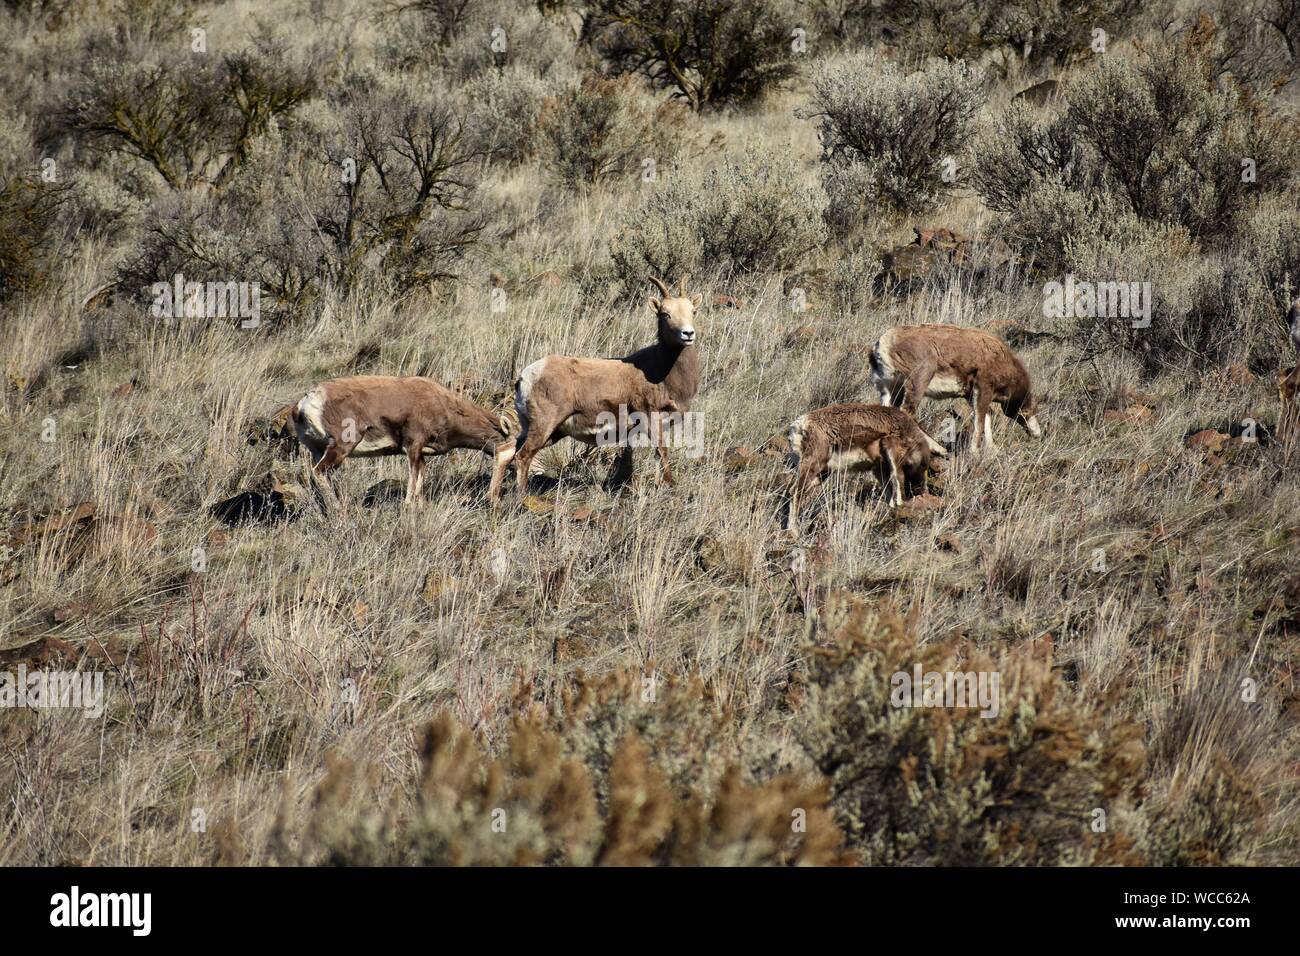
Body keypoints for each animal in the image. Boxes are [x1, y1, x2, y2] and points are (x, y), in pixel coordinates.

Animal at [295, 374, 512, 504]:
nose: (493, 497)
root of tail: (307, 401)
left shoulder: (421, 456)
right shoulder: (413, 448)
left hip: (318, 451)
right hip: (340, 449)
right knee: (318, 472)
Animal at [488, 274, 702, 502]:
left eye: (693, 311)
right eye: (665, 313)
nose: (688, 334)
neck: (659, 370)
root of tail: (526, 376)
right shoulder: (651, 419)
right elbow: (662, 452)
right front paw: (670, 485)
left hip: (543, 430)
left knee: (505, 452)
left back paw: (493, 499)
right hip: (543, 427)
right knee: (523, 456)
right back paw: (522, 498)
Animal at [780, 405, 946, 535]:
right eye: (924, 465)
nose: (922, 491)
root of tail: (798, 426)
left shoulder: (880, 469)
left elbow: (889, 495)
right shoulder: (893, 459)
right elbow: (898, 490)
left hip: (820, 475)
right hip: (811, 468)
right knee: (794, 492)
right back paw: (794, 531)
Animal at [868, 323, 1040, 455]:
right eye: (1029, 411)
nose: (1037, 434)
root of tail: (881, 346)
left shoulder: (971, 395)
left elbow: (987, 417)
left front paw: (992, 449)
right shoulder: (983, 389)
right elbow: (980, 421)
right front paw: (974, 452)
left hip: (891, 389)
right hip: (920, 378)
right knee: (907, 412)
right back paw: (939, 449)